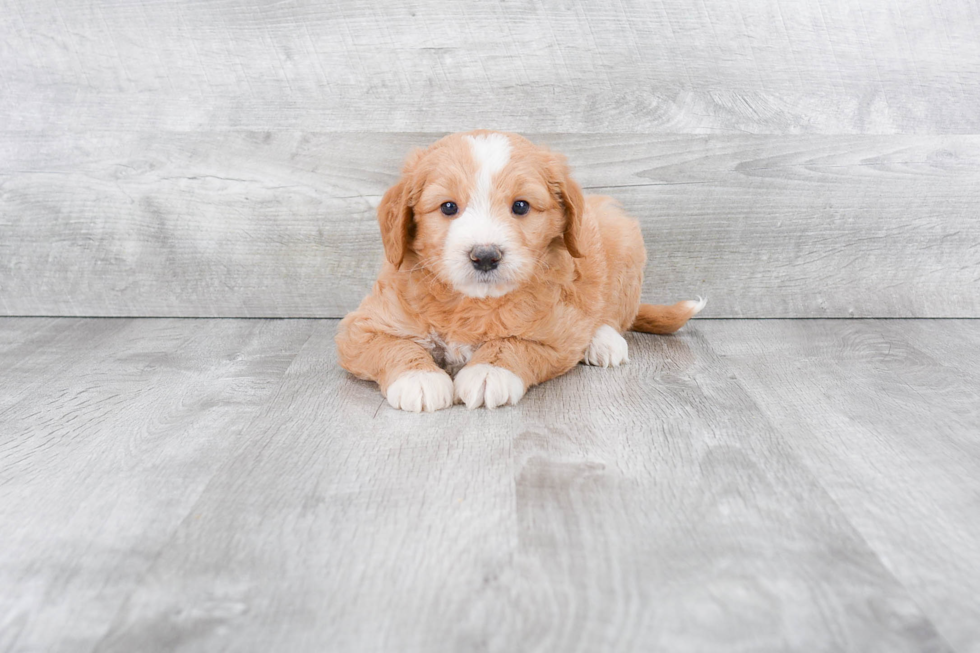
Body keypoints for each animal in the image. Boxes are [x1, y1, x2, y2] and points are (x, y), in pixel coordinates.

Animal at [336, 130, 704, 410]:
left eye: (521, 206)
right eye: (449, 207)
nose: (485, 256)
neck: (471, 302)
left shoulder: (555, 336)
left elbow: (513, 343)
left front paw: (489, 372)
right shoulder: (362, 328)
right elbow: (393, 345)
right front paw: (420, 378)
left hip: (621, 239)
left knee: (611, 314)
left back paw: (603, 341)